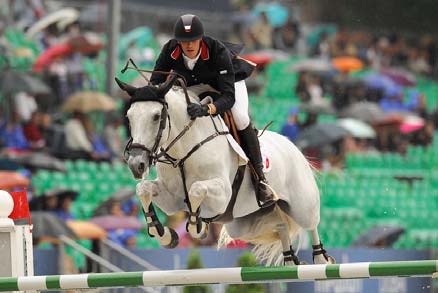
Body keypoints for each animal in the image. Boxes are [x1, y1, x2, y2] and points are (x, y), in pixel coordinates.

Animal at [114, 73, 334, 264]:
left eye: (156, 116)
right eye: (128, 116)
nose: (136, 164)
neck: (183, 152)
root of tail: (292, 145)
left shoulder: (223, 194)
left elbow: (196, 189)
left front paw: (197, 227)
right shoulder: (171, 199)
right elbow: (143, 189)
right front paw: (165, 235)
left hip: (301, 206)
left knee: (311, 224)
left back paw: (321, 259)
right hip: (244, 225)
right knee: (280, 225)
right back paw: (289, 259)